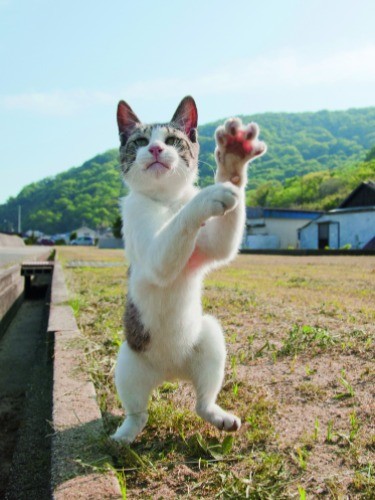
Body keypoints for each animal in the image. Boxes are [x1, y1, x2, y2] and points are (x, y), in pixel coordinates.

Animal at [112, 95, 268, 444]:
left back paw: (216, 414)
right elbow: (170, 240)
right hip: (128, 361)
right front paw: (211, 193)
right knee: (138, 412)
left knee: (201, 402)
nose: (156, 149)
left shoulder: (204, 249)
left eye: (172, 140)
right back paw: (123, 435)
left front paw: (232, 163)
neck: (166, 202)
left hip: (209, 336)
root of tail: (170, 373)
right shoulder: (150, 246)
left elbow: (221, 246)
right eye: (140, 141)